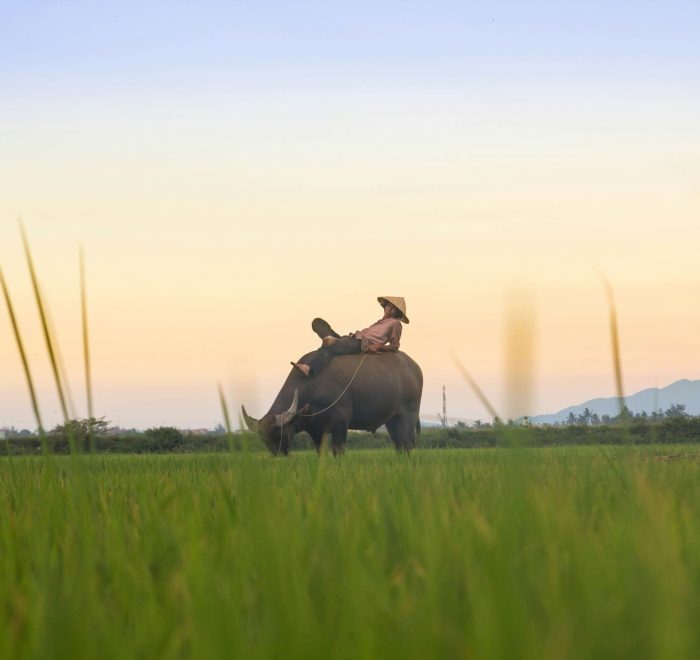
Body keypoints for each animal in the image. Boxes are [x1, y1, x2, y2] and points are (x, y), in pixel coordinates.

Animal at [243, 350, 424, 454]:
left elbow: (338, 452)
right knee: (399, 445)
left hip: (408, 416)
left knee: (406, 444)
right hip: (391, 420)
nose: (279, 455)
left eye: (279, 434)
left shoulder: (340, 425)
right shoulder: (316, 432)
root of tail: (414, 367)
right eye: (264, 439)